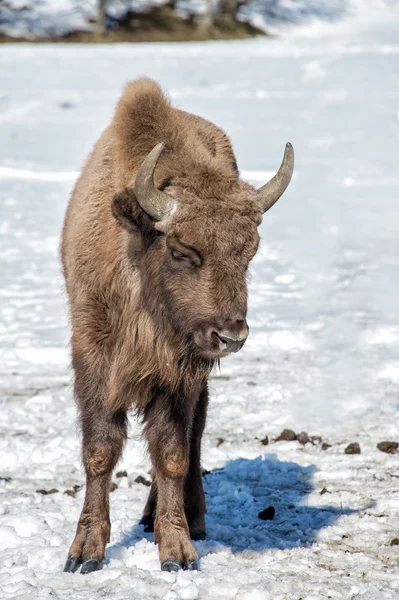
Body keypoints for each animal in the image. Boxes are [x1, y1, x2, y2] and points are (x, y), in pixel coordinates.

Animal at [61, 77, 294, 576]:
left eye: (249, 253)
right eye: (183, 250)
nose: (231, 336)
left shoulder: (179, 377)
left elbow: (172, 453)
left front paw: (178, 553)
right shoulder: (93, 359)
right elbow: (100, 450)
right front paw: (84, 553)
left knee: (195, 436)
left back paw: (189, 519)